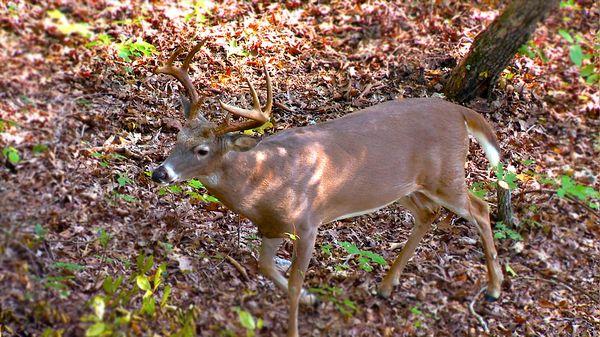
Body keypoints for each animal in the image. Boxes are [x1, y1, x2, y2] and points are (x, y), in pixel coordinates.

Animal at [150, 44, 502, 336]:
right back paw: (387, 285)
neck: (264, 180)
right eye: (177, 138)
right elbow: (265, 266)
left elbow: (293, 283)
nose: (159, 173)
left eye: (202, 151)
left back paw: (494, 288)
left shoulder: (308, 224)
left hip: (445, 175)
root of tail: (460, 112)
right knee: (429, 213)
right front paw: (312, 300)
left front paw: (295, 323)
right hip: (404, 187)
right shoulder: (270, 226)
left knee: (480, 208)